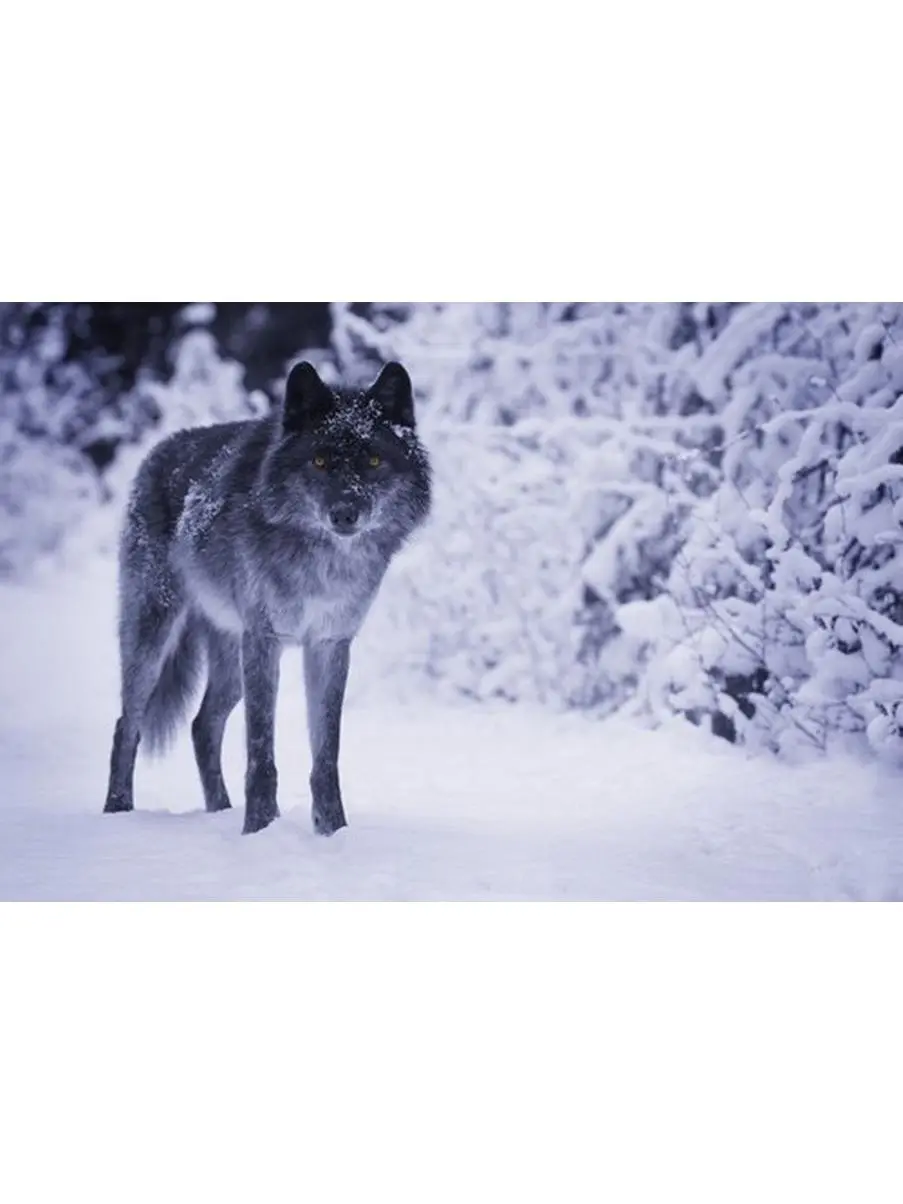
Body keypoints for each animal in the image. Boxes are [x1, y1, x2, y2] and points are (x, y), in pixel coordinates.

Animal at [103, 360, 431, 835]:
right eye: (319, 461)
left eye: (372, 460)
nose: (345, 514)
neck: (323, 563)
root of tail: (158, 451)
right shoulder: (265, 640)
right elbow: (261, 753)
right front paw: (258, 828)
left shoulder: (329, 645)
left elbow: (325, 757)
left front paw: (332, 832)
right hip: (153, 638)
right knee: (127, 725)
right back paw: (117, 811)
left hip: (230, 661)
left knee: (203, 725)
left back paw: (220, 811)